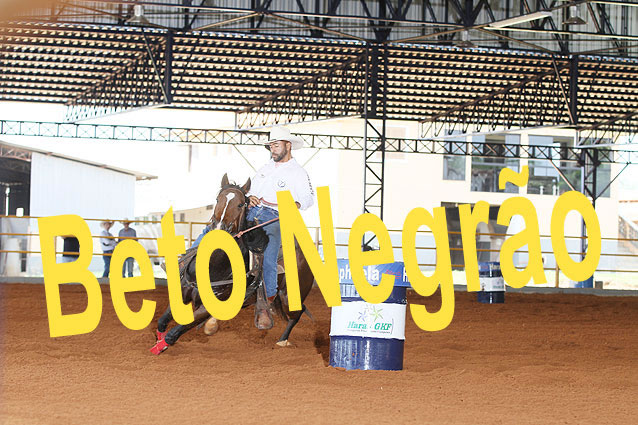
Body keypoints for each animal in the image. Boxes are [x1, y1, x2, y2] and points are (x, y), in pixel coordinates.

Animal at [150, 173, 315, 354]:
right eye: (217, 199)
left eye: (241, 204)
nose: (219, 228)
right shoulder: (183, 291)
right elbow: (162, 321)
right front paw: (159, 341)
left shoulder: (208, 306)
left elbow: (173, 333)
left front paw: (160, 347)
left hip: (289, 296)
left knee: (297, 314)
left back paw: (282, 341)